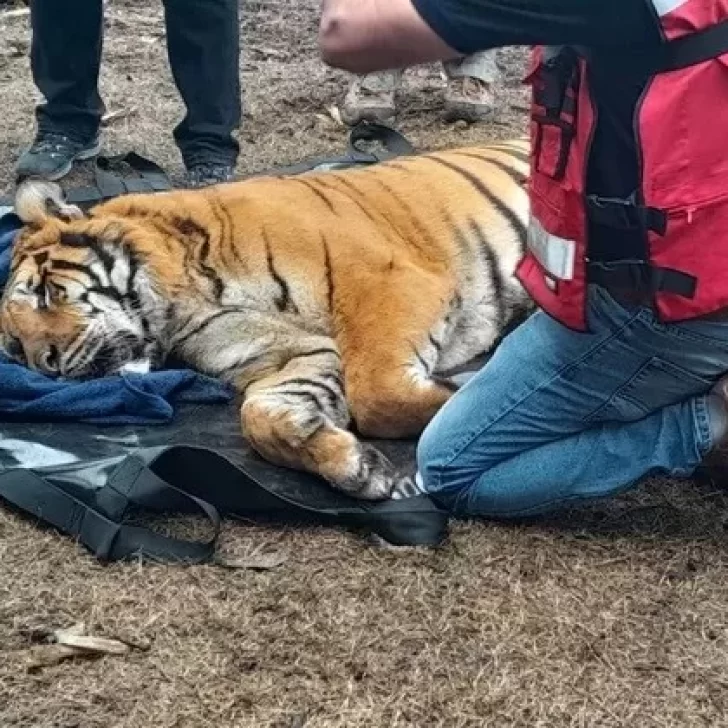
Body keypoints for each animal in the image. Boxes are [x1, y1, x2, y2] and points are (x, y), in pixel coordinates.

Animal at [0, 138, 533, 500]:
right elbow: (263, 414)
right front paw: (354, 465)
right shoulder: (288, 352)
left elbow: (376, 392)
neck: (181, 298)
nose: (47, 363)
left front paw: (472, 398)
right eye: (17, 351)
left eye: (44, 293)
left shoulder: (387, 278)